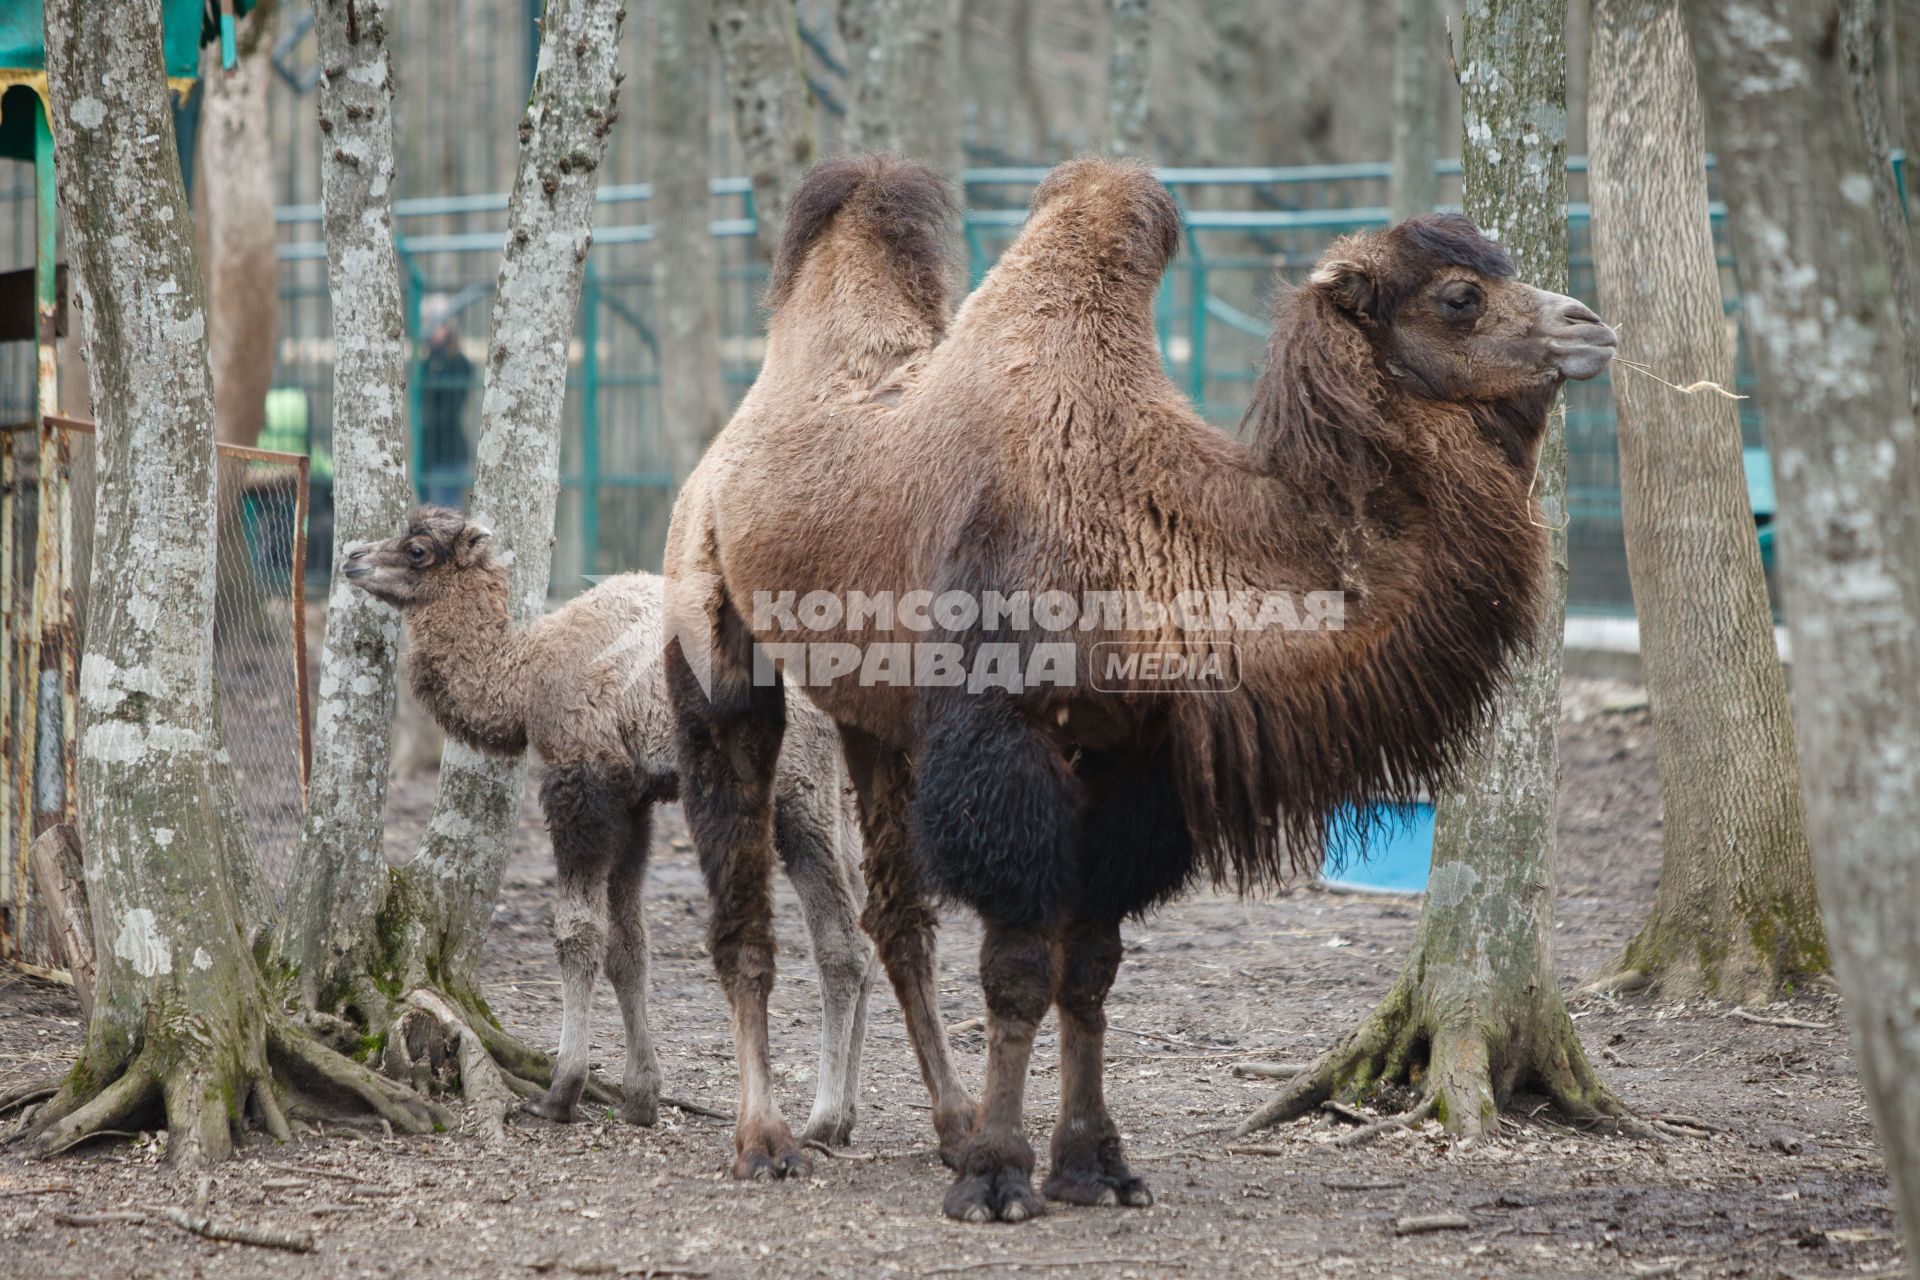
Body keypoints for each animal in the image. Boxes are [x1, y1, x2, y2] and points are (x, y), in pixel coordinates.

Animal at [343, 506, 871, 1151]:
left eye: (417, 549)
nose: (351, 557)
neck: (525, 673)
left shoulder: (582, 781)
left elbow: (579, 934)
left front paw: (560, 1092)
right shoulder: (634, 795)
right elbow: (629, 947)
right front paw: (641, 1097)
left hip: (798, 786)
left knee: (840, 945)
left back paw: (822, 1120)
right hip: (848, 793)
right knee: (872, 930)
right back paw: (846, 1116)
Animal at [668, 157, 1612, 1220]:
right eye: (1459, 297)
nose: (1589, 323)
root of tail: (732, 442)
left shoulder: (1132, 754)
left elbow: (1090, 969)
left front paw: (1091, 1165)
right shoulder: (1004, 733)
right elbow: (1018, 970)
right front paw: (1000, 1177)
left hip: (877, 713)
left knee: (899, 918)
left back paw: (947, 1127)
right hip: (712, 630)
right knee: (742, 905)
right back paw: (766, 1141)